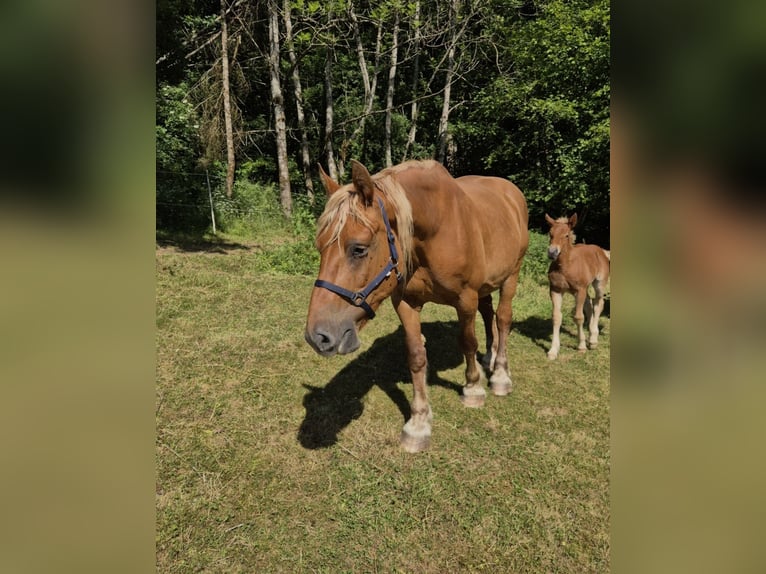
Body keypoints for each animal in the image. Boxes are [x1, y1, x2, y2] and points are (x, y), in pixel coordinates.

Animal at [304, 159, 528, 452]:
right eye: (320, 246)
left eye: (359, 249)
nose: (318, 336)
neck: (437, 229)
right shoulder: (406, 303)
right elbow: (416, 356)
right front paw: (419, 422)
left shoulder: (465, 299)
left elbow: (468, 342)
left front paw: (473, 388)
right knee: (489, 313)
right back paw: (490, 358)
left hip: (511, 276)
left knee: (502, 319)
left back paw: (500, 373)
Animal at [545, 213, 610, 360]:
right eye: (550, 234)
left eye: (566, 235)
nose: (552, 252)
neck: (565, 266)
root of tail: (601, 250)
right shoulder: (556, 290)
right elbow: (556, 317)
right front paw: (553, 350)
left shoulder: (579, 291)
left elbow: (578, 317)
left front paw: (581, 346)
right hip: (584, 289)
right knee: (589, 304)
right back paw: (590, 336)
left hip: (598, 284)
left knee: (598, 304)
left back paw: (593, 340)